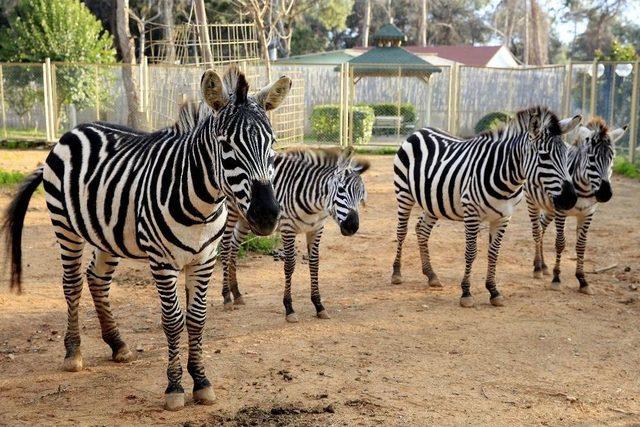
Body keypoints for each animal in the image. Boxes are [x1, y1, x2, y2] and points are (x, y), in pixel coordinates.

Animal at [1, 66, 292, 412]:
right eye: (226, 146)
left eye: (272, 144)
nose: (267, 215)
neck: (202, 204)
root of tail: (75, 130)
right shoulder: (162, 262)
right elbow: (173, 321)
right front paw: (175, 387)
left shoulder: (205, 259)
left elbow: (197, 319)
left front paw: (201, 381)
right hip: (65, 226)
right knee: (72, 283)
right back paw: (73, 352)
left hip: (107, 234)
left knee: (97, 279)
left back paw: (117, 344)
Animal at [392, 106, 584, 308]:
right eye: (544, 156)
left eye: (567, 155)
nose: (570, 199)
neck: (506, 178)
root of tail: (420, 131)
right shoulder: (471, 212)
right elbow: (471, 252)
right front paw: (466, 293)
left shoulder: (503, 217)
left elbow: (493, 253)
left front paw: (493, 291)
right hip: (404, 193)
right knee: (402, 231)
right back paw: (396, 273)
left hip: (433, 202)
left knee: (422, 230)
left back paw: (431, 274)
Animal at [524, 118, 632, 294]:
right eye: (591, 158)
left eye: (612, 157)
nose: (605, 194)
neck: (585, 188)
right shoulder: (561, 212)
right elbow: (560, 243)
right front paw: (556, 278)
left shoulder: (587, 213)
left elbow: (581, 246)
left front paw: (582, 280)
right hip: (532, 201)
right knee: (536, 231)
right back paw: (538, 268)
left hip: (551, 208)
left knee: (542, 226)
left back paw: (543, 265)